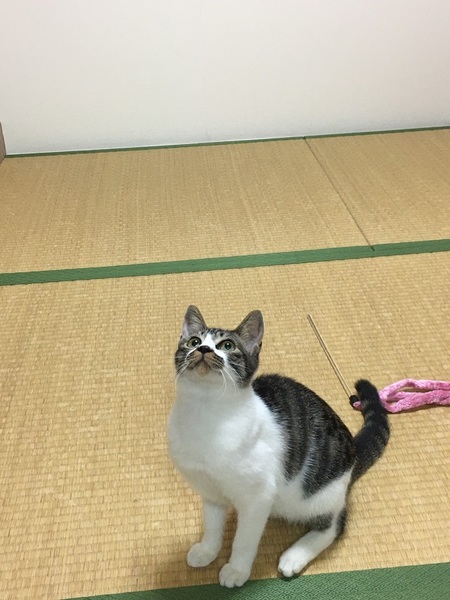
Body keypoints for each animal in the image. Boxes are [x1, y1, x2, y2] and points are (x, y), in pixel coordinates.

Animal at [168, 305, 390, 588]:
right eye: (194, 342)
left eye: (227, 345)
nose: (205, 350)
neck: (204, 412)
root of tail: (352, 452)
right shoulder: (210, 489)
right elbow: (213, 525)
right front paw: (208, 550)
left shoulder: (258, 497)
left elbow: (244, 540)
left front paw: (236, 570)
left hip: (313, 497)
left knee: (335, 525)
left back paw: (295, 555)